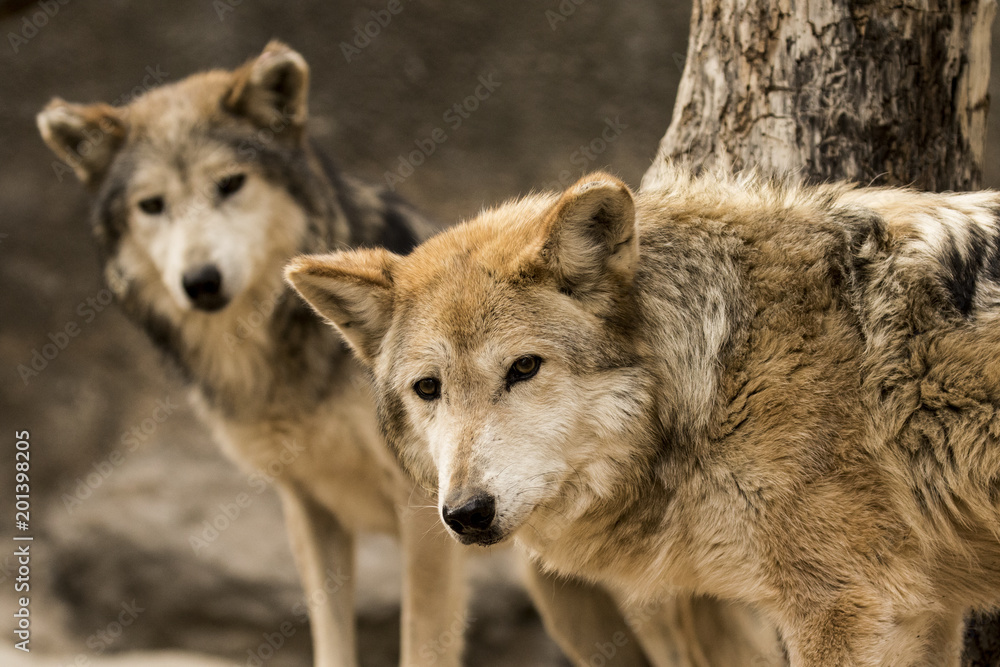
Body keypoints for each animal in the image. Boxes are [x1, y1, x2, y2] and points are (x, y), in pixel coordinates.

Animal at [286, 166, 1000, 664]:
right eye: (429, 388)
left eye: (524, 368)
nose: (465, 513)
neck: (716, 370)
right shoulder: (925, 610)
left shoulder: (849, 608)